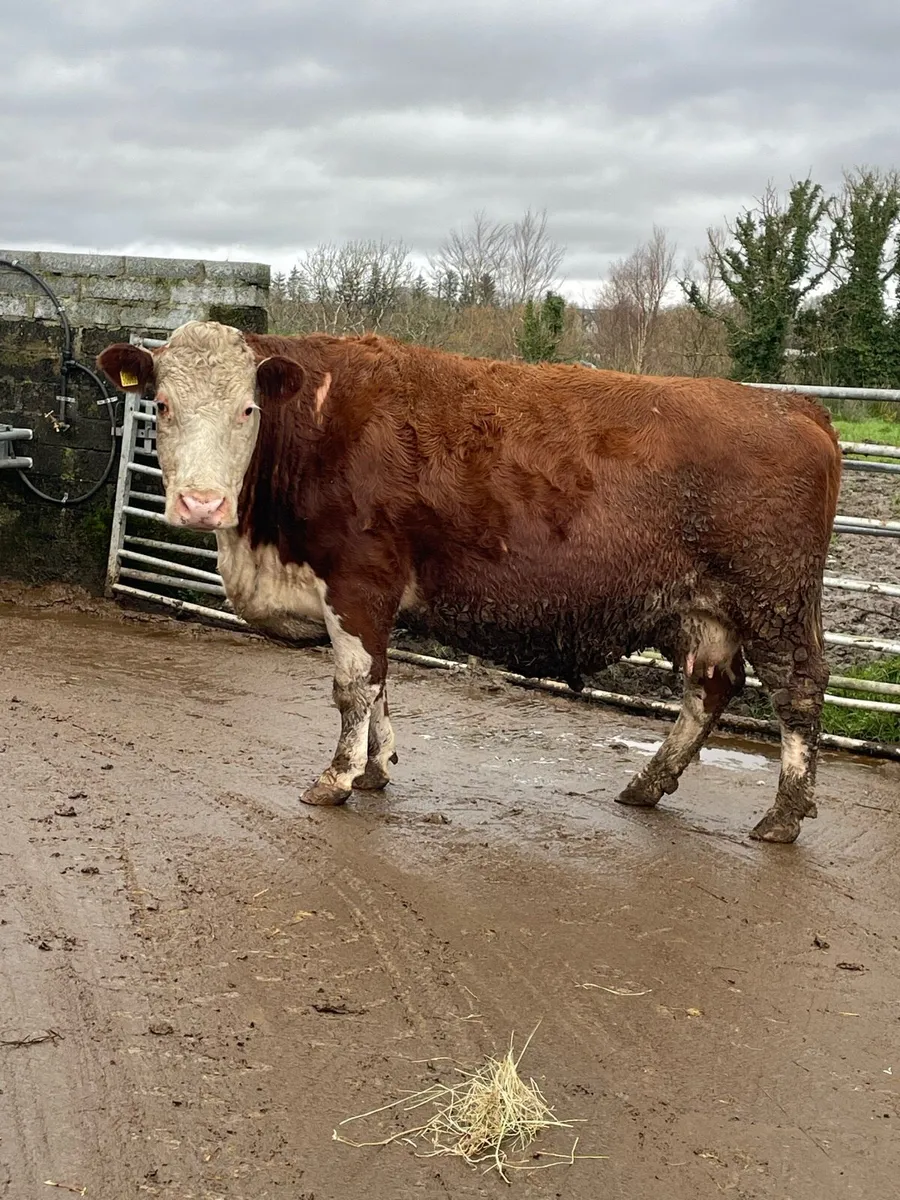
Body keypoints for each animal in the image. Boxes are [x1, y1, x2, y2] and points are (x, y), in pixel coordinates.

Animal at [97, 321, 842, 844]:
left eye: (246, 411)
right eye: (162, 404)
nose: (200, 504)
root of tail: (796, 408)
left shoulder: (359, 580)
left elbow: (353, 687)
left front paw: (336, 778)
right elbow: (382, 683)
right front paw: (375, 768)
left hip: (773, 601)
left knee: (798, 693)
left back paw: (782, 816)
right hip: (706, 609)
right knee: (711, 687)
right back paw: (647, 783)